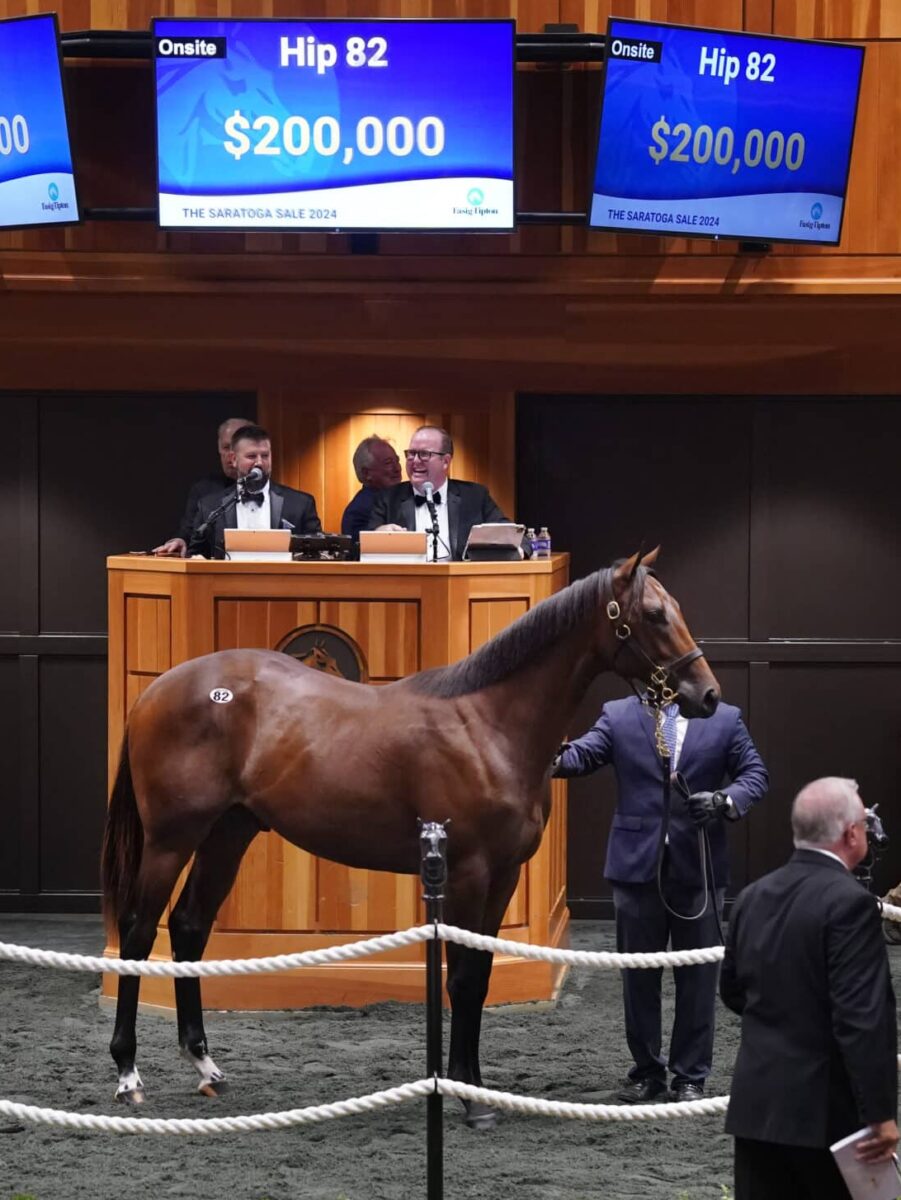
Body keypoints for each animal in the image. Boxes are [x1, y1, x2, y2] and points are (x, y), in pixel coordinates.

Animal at [100, 549, 719, 1128]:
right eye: (655, 615)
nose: (708, 695)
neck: (488, 726)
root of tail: (157, 690)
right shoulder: (468, 873)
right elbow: (463, 980)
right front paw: (471, 1100)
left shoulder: (503, 877)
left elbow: (482, 974)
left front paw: (474, 1087)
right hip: (171, 840)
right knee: (138, 934)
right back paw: (128, 1075)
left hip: (229, 833)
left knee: (188, 927)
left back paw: (206, 1066)